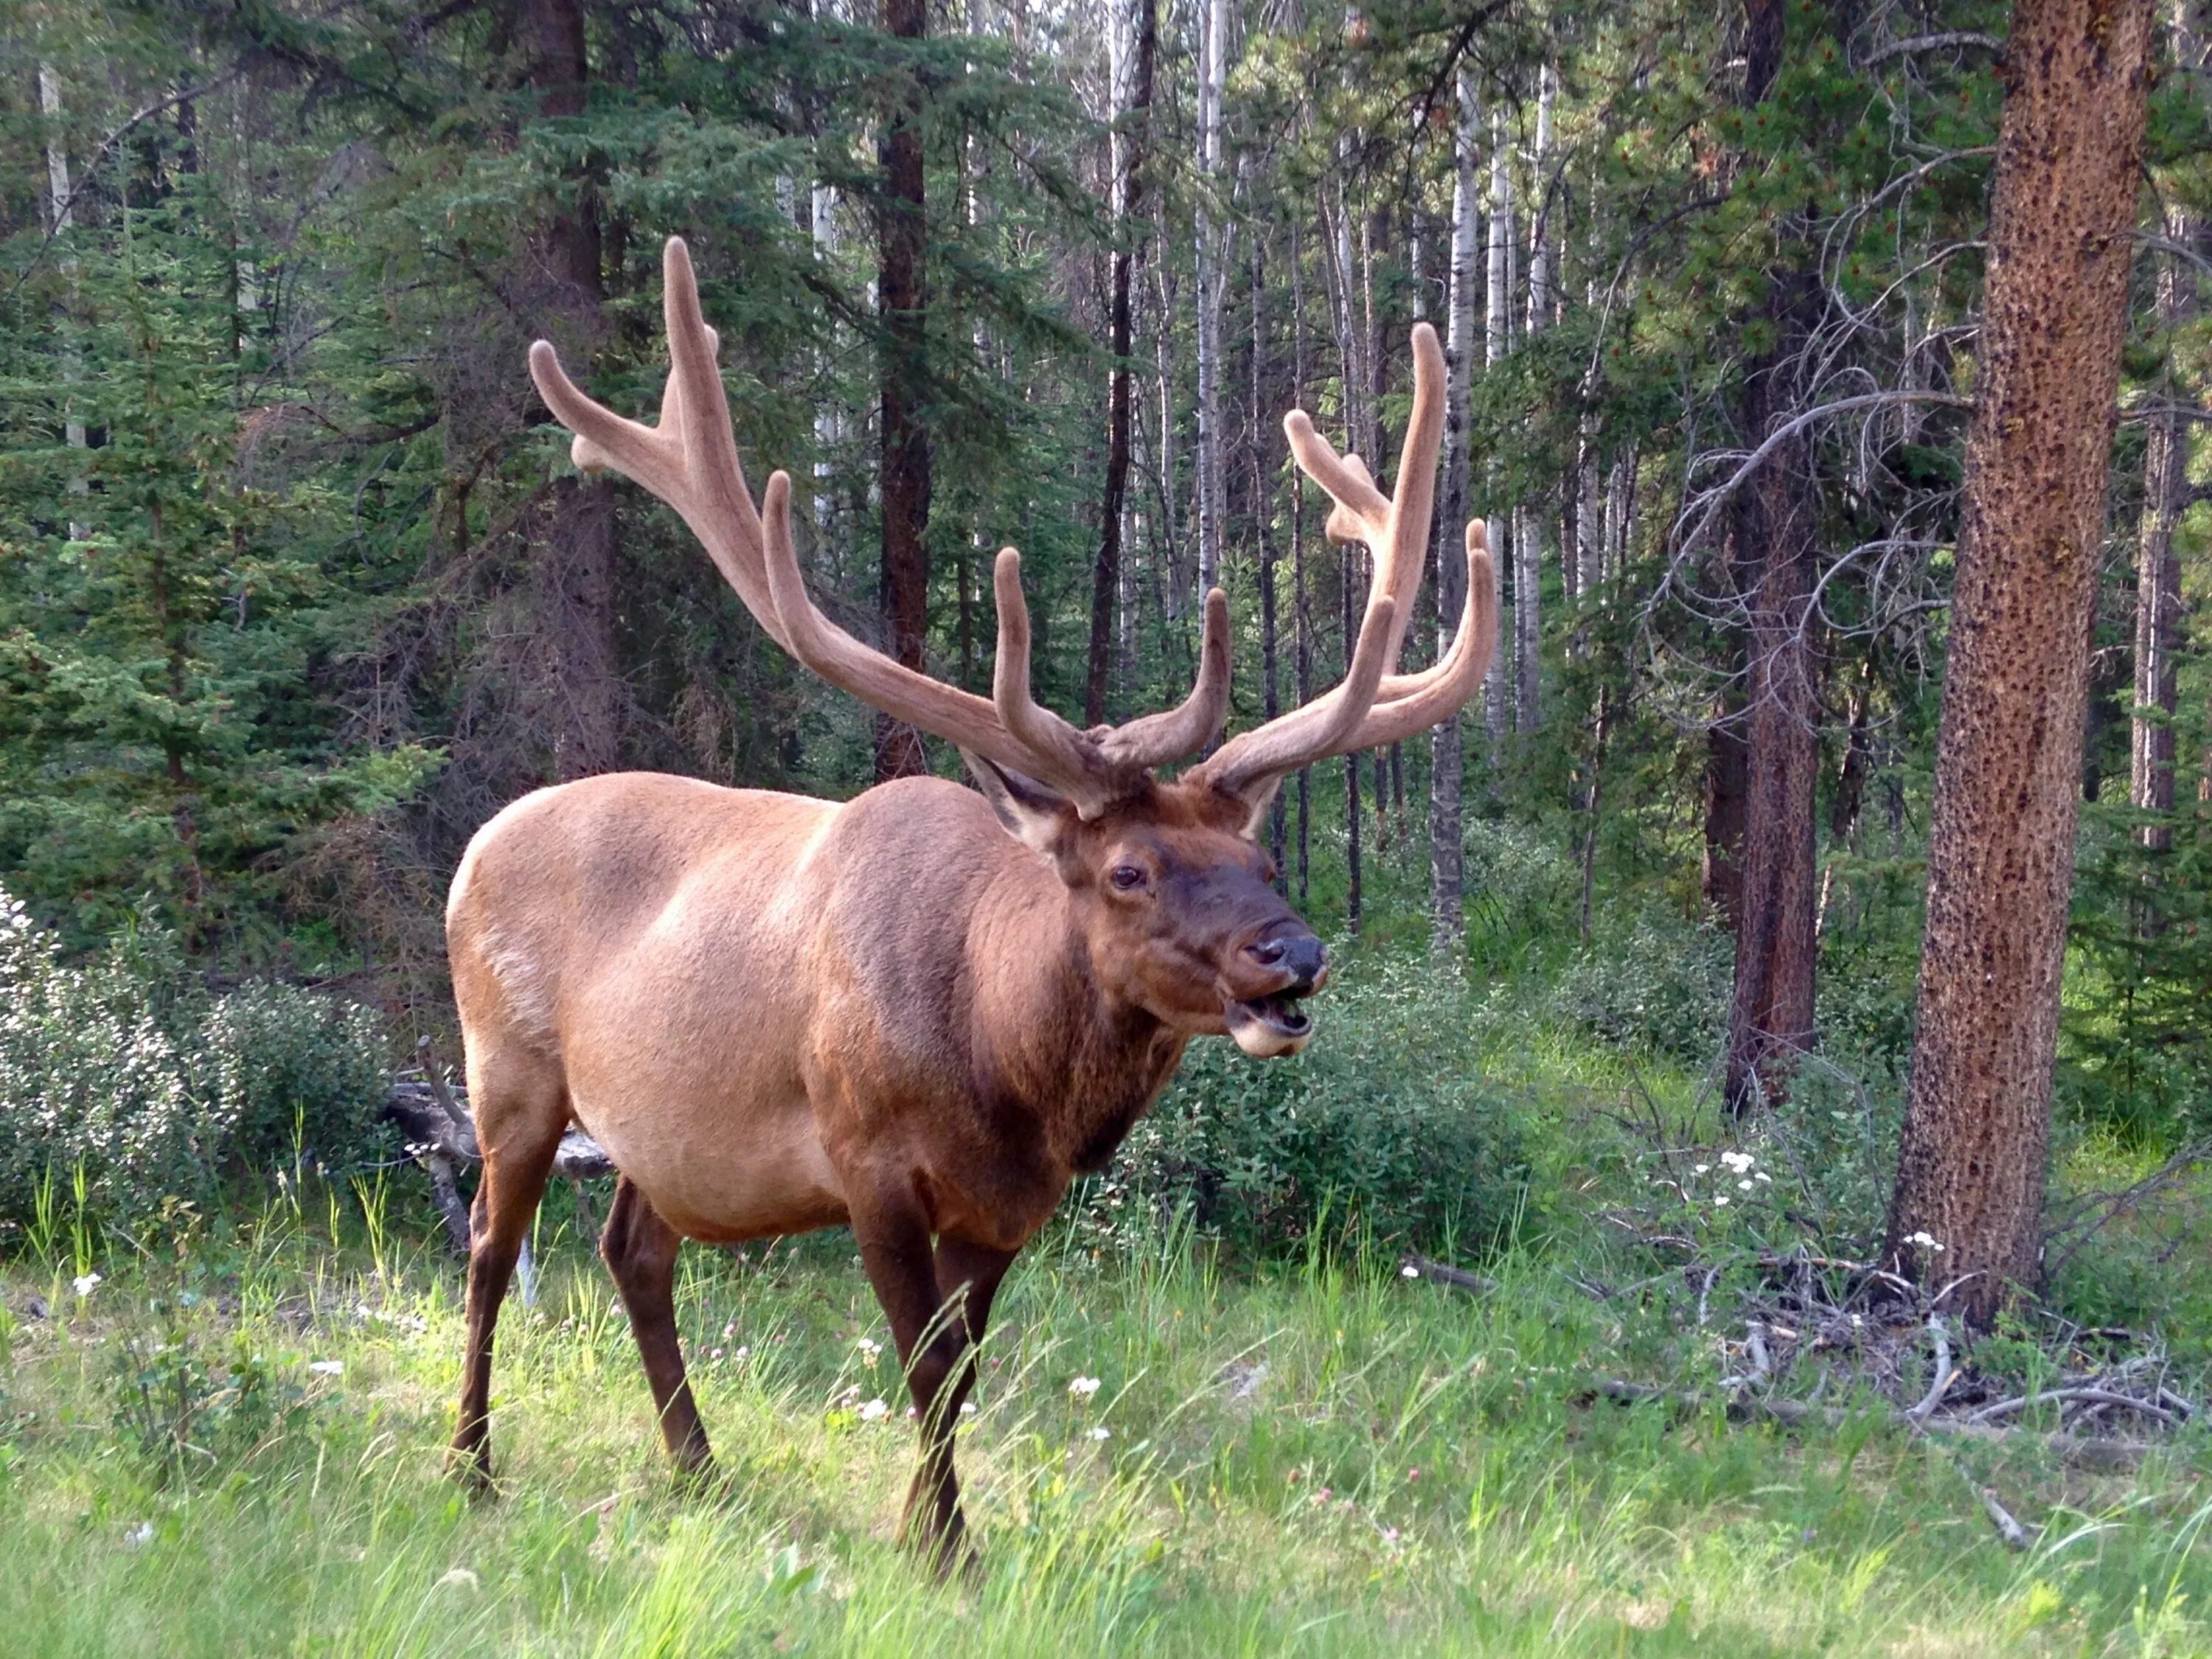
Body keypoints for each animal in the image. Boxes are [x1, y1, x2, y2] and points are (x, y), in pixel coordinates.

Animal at [440, 237, 1495, 1575]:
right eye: (1128, 870)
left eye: (1260, 860)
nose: (1292, 956)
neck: (1007, 1070)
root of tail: (474, 845)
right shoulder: (867, 1160)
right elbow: (926, 1362)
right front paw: (943, 1546)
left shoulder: (1006, 1208)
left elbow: (966, 1370)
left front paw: (927, 1528)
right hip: (509, 1069)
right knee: (487, 1247)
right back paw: (470, 1464)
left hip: (656, 1126)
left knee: (633, 1248)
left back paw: (697, 1466)